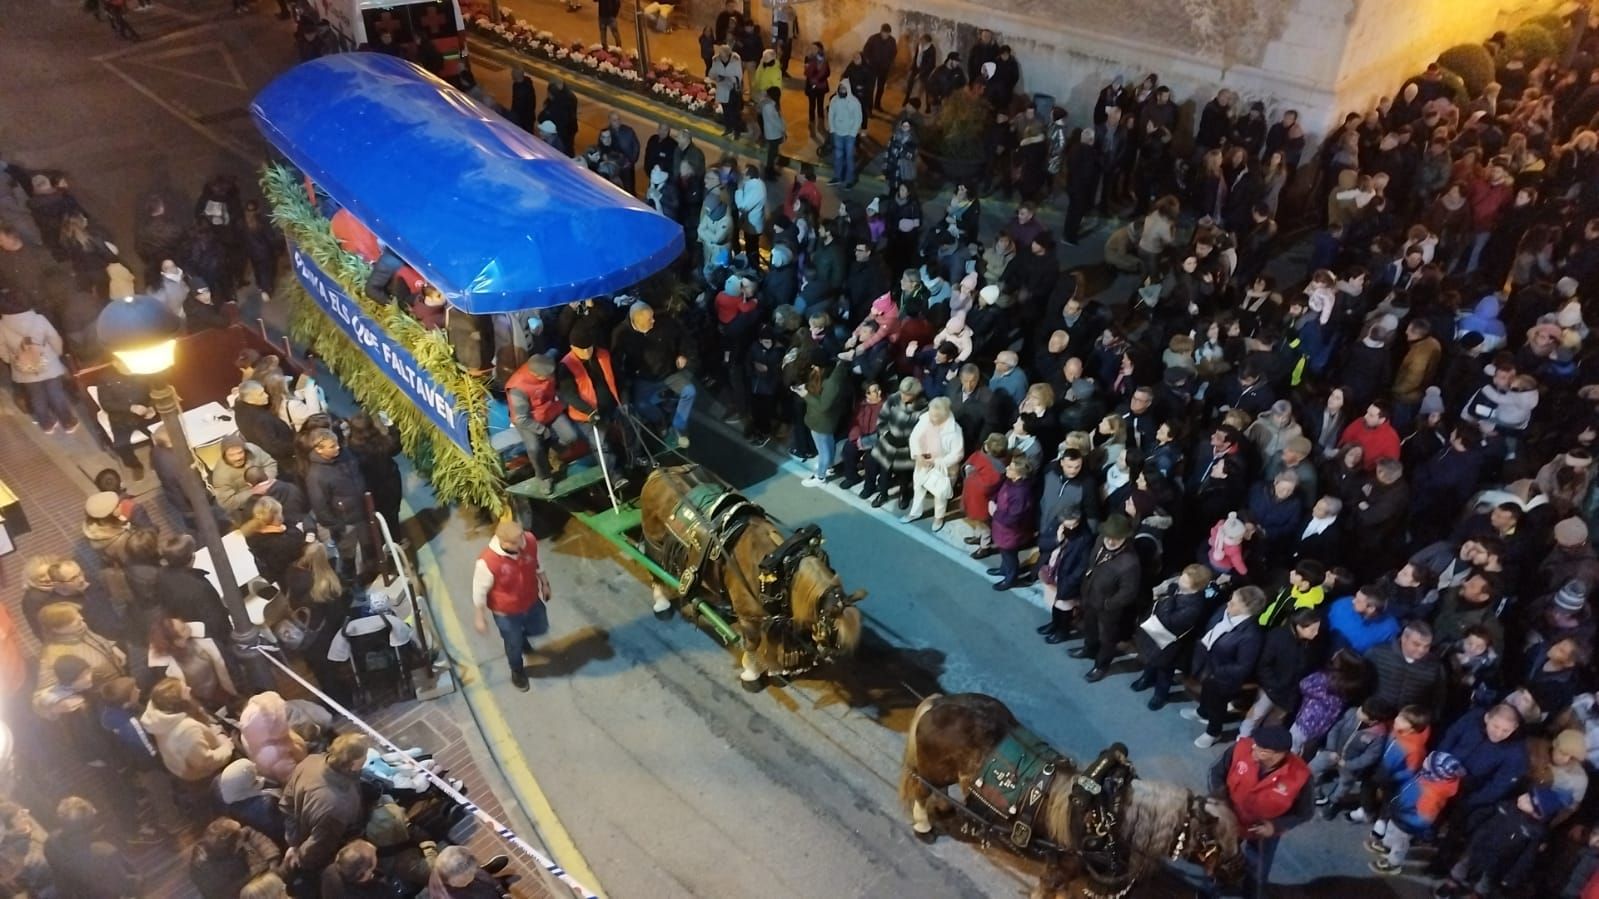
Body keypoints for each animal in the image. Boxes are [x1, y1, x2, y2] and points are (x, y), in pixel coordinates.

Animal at [636, 460, 863, 684]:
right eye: (833, 627)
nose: (832, 657)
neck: (780, 571)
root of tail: (660, 471)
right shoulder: (748, 616)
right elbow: (752, 644)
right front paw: (751, 672)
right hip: (654, 540)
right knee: (654, 569)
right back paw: (661, 602)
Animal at [895, 694, 1240, 895]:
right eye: (1214, 839)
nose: (1236, 874)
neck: (1109, 814)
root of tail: (939, 702)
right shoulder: (1059, 869)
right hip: (934, 770)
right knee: (921, 790)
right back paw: (924, 825)